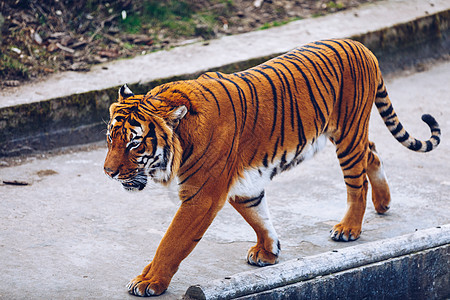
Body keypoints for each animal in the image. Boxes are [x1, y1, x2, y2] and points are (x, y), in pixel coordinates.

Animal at [103, 38, 440, 296]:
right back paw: (383, 203)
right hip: (350, 136)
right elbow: (258, 216)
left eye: (134, 144)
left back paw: (349, 228)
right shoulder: (242, 184)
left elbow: (171, 241)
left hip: (348, 134)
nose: (108, 172)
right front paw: (269, 251)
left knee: (358, 183)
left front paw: (149, 281)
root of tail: (361, 45)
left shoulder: (202, 196)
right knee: (372, 152)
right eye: (110, 139)